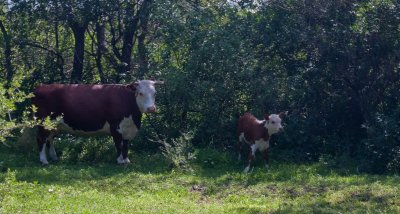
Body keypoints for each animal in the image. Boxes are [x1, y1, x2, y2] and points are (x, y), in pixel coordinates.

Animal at [31, 79, 162, 165]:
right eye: (140, 93)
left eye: (155, 93)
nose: (151, 108)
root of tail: (41, 86)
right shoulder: (116, 127)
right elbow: (119, 144)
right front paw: (120, 161)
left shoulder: (128, 128)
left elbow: (125, 145)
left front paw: (126, 160)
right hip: (43, 122)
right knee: (41, 139)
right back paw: (44, 161)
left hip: (53, 125)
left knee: (50, 139)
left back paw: (54, 157)